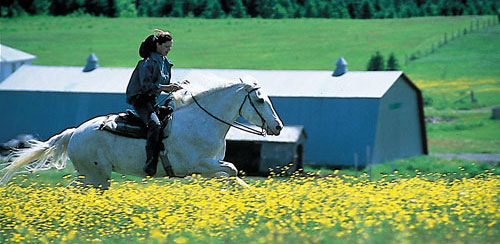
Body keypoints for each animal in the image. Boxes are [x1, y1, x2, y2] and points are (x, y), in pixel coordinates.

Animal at [0, 80, 284, 189]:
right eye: (260, 100)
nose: (278, 127)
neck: (202, 122)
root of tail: (75, 133)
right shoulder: (201, 165)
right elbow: (233, 170)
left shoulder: (210, 168)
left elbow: (233, 176)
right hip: (95, 177)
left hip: (91, 177)